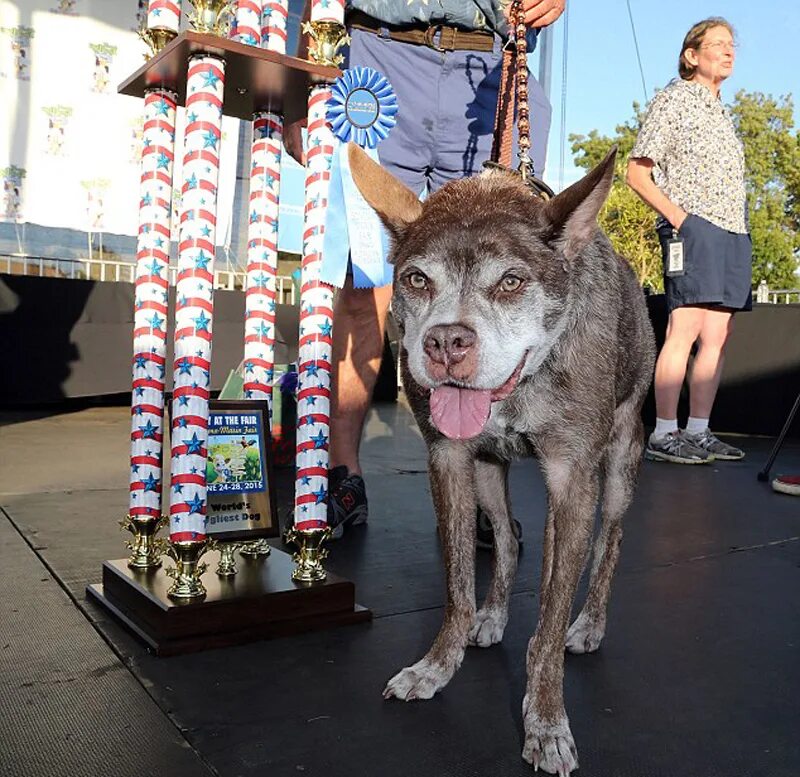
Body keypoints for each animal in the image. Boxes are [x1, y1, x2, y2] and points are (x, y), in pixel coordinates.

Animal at [348, 142, 656, 772]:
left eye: (512, 281)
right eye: (416, 279)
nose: (446, 342)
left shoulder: (572, 480)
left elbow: (551, 616)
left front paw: (546, 719)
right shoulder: (449, 461)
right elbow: (458, 584)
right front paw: (438, 665)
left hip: (618, 468)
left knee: (609, 543)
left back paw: (590, 624)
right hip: (489, 472)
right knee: (510, 539)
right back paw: (493, 615)